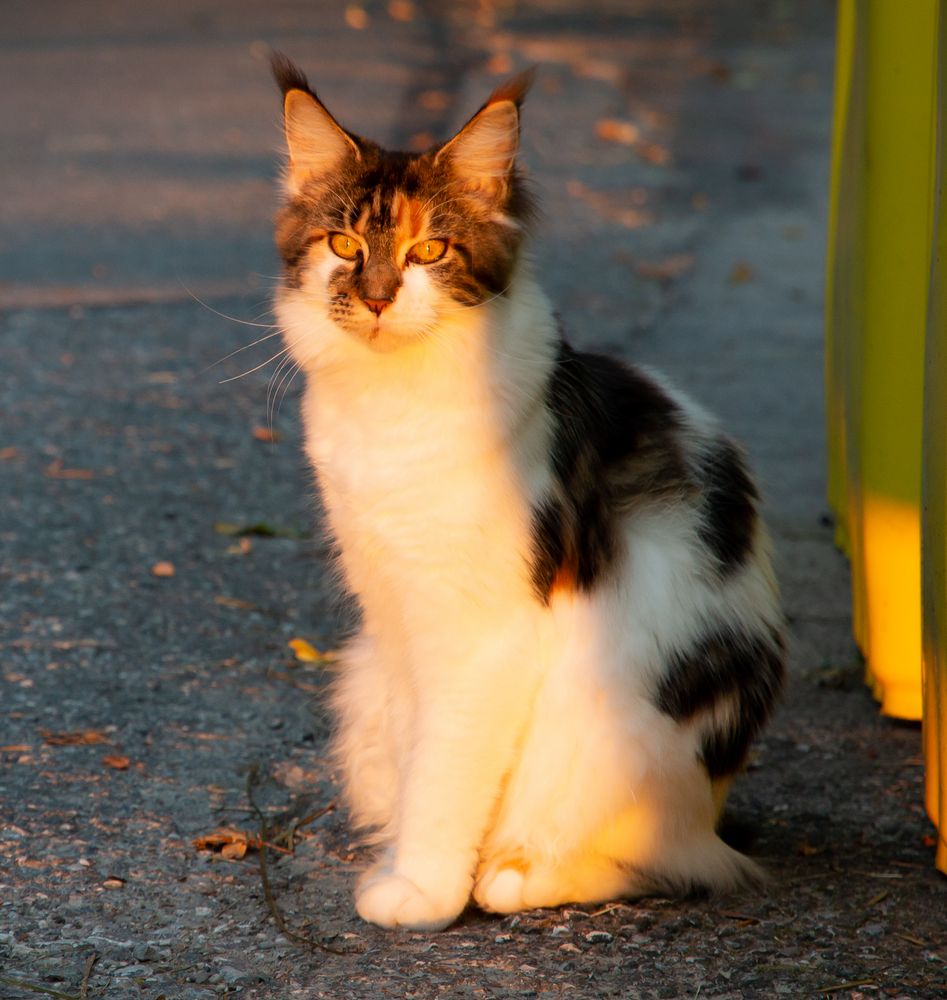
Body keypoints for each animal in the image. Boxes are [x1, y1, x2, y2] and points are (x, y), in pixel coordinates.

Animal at [268, 52, 784, 928]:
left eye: (429, 250)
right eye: (343, 243)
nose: (375, 297)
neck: (391, 410)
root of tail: (715, 809)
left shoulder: (483, 632)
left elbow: (446, 771)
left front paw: (425, 891)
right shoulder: (395, 609)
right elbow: (416, 755)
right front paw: (402, 862)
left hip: (611, 726)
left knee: (666, 862)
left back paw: (514, 874)